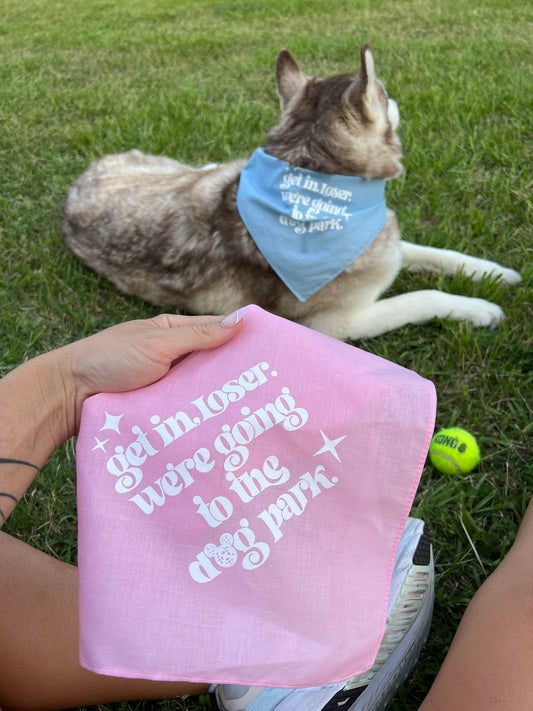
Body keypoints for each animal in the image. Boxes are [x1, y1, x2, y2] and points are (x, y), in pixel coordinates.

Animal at [62, 46, 520, 340]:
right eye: (386, 94)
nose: (399, 100)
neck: (317, 185)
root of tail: (77, 187)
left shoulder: (380, 243)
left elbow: (440, 255)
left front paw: (494, 273)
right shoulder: (338, 324)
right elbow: (423, 296)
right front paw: (480, 309)